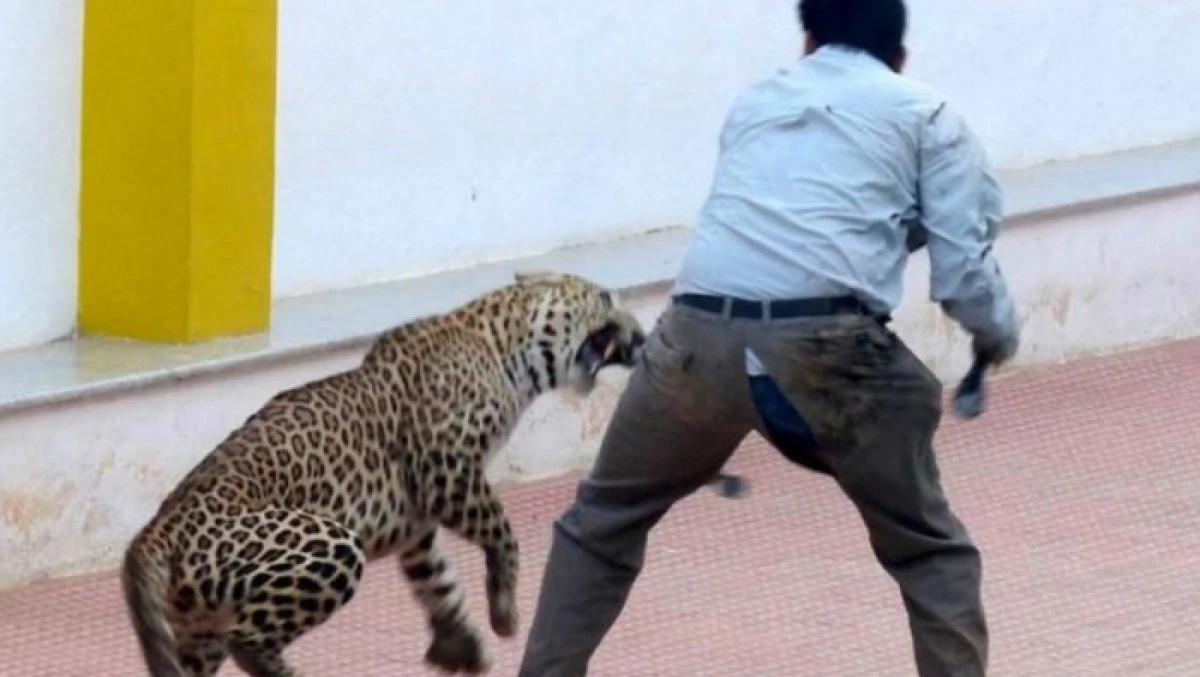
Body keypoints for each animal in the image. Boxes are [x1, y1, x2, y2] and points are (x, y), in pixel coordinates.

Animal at [120, 271, 647, 677]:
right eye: (605, 299)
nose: (642, 339)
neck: (502, 347)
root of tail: (153, 533)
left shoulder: (416, 521)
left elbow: (437, 579)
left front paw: (461, 645)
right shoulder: (449, 473)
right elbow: (503, 531)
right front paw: (504, 613)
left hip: (197, 626)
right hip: (328, 547)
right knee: (246, 638)